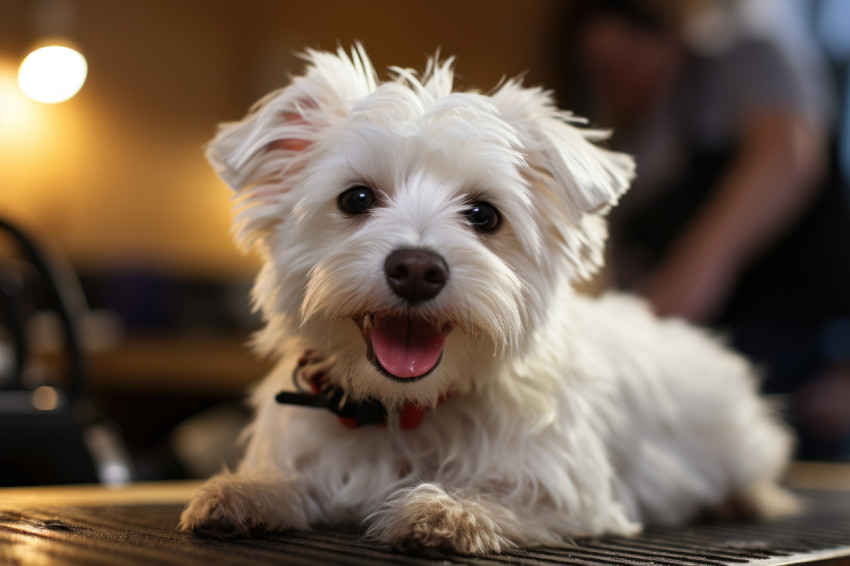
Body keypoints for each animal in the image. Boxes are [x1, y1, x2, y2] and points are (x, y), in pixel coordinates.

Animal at [181, 45, 796, 560]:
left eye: (483, 214)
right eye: (355, 198)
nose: (416, 269)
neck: (405, 412)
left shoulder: (568, 491)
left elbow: (507, 500)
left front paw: (447, 510)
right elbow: (287, 482)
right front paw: (242, 494)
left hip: (740, 440)